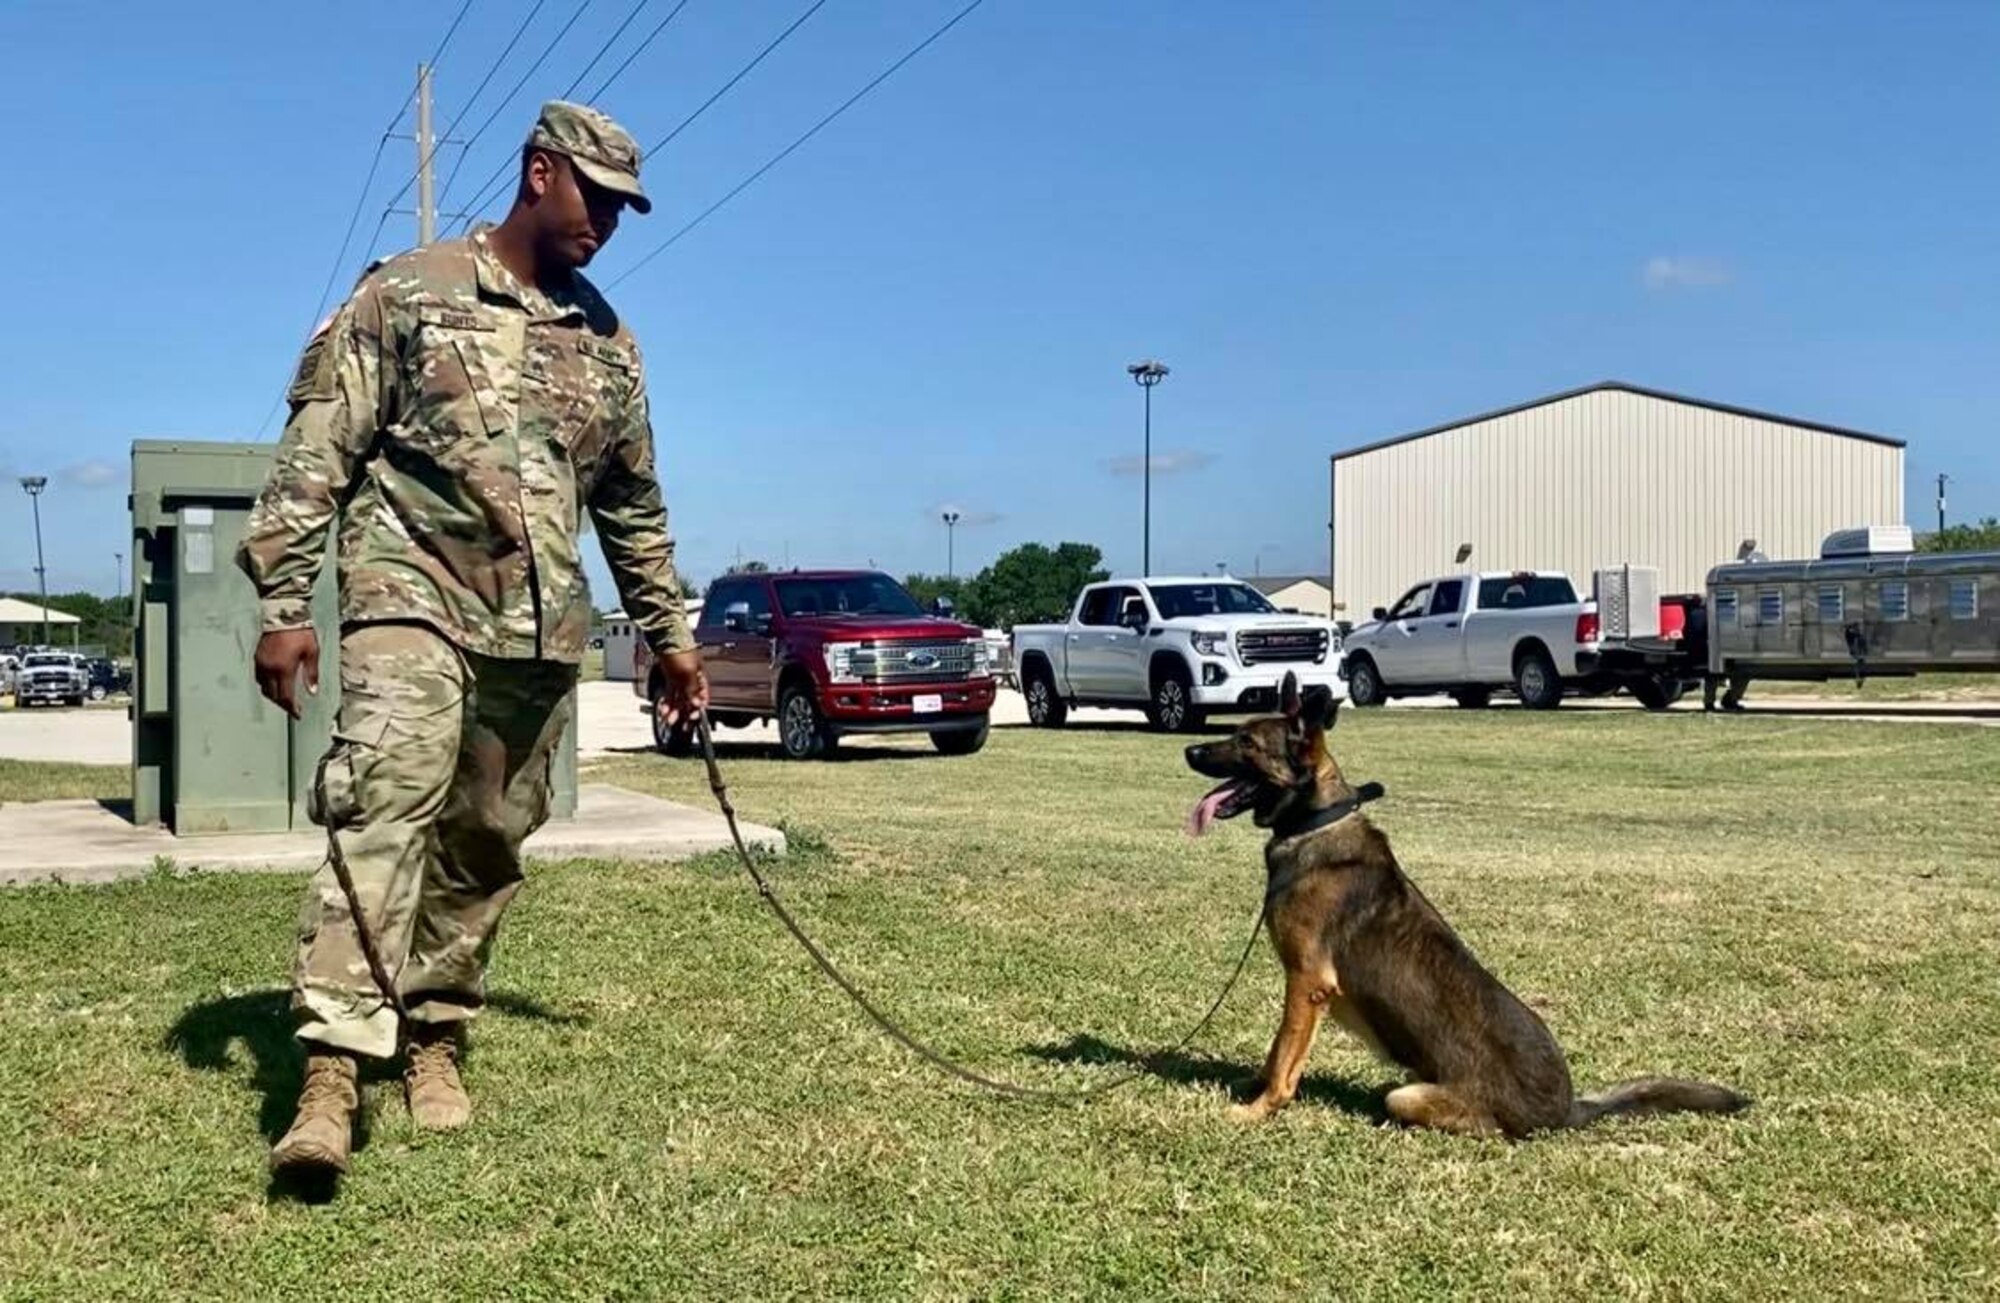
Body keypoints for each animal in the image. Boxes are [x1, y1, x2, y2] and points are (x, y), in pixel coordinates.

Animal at [1176, 675, 1744, 1135]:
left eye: (1246, 742)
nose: (1189, 750)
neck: (1314, 823)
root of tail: (1565, 1109)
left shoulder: (1307, 982)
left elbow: (1283, 1056)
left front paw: (1258, 1108)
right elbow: (1277, 1054)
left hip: (1407, 1096)